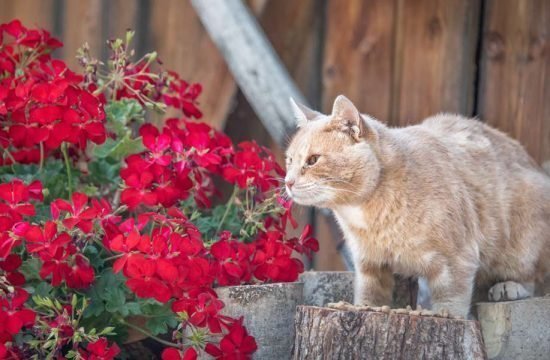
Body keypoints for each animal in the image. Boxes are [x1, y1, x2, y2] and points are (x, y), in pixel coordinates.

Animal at [286, 96, 550, 318]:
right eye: (289, 160)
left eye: (312, 160)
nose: (287, 182)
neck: (366, 216)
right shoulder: (369, 263)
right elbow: (370, 293)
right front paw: (363, 307)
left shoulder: (458, 259)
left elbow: (451, 300)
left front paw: (446, 315)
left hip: (525, 229)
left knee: (530, 278)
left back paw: (509, 287)